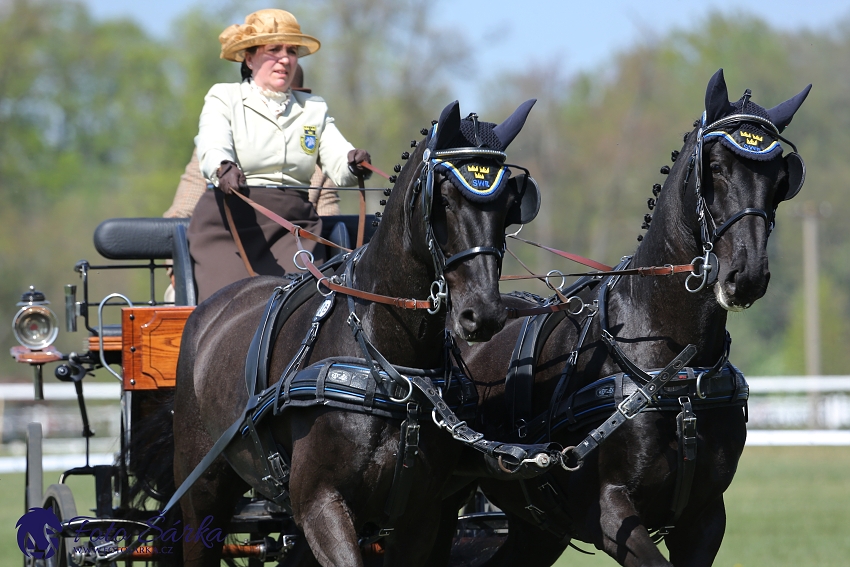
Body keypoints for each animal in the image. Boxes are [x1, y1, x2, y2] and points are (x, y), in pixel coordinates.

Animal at [166, 101, 548, 567]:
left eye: (510, 204)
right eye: (443, 199)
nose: (485, 314)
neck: (394, 369)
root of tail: (210, 309)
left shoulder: (422, 517)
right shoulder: (320, 503)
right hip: (201, 488)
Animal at [438, 71, 808, 567]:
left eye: (780, 177)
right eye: (714, 166)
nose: (745, 275)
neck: (671, 368)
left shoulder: (706, 517)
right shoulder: (608, 510)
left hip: (535, 529)